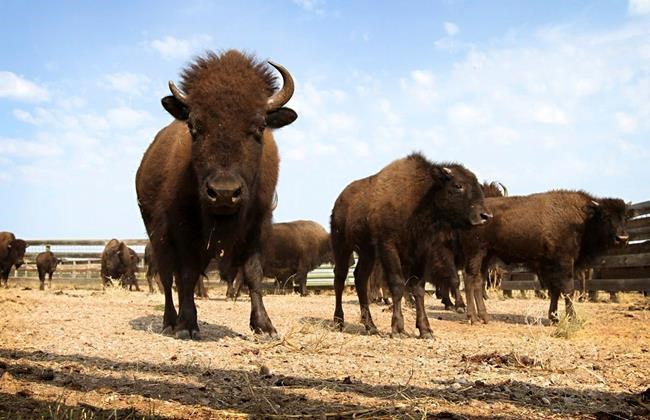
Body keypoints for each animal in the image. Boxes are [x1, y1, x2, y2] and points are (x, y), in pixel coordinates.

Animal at [136, 50, 296, 339]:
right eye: (194, 125)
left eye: (259, 126)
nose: (223, 192)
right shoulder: (183, 230)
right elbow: (187, 274)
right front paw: (187, 326)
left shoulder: (257, 225)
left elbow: (253, 273)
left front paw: (264, 327)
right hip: (158, 238)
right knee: (168, 278)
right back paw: (170, 322)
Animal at [330, 153, 491, 338]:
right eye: (458, 185)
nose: (485, 216)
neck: (420, 198)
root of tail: (339, 201)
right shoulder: (389, 247)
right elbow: (397, 284)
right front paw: (398, 329)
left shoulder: (422, 252)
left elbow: (418, 288)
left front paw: (425, 330)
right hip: (342, 246)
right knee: (339, 279)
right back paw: (339, 322)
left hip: (367, 253)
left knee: (360, 279)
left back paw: (370, 326)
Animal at [459, 190, 629, 324]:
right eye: (606, 216)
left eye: (625, 218)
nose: (622, 238)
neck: (583, 220)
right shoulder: (564, 263)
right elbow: (568, 290)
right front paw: (572, 318)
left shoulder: (550, 266)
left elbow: (555, 291)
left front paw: (554, 318)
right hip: (476, 253)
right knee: (470, 279)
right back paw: (473, 318)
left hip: (486, 256)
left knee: (478, 281)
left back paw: (484, 317)